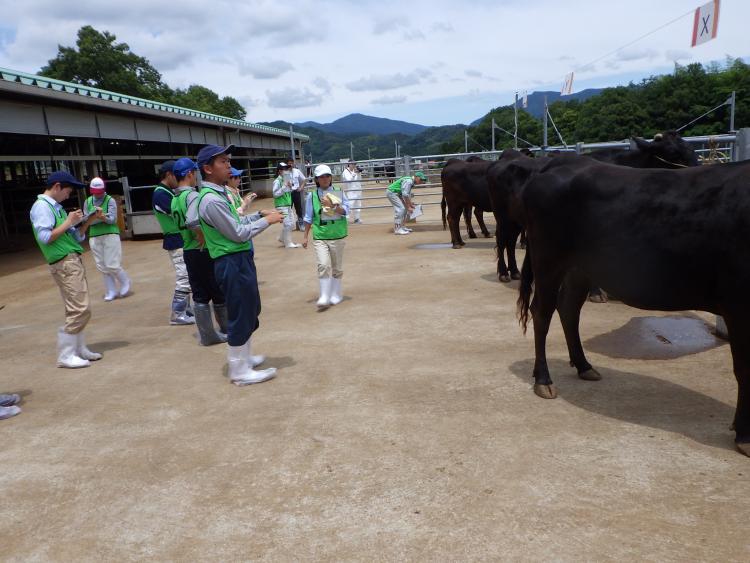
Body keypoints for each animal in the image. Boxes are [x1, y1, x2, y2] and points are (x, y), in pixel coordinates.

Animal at [520, 156, 750, 456]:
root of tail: (563, 161)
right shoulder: (739, 306)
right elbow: (745, 369)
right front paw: (745, 434)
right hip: (548, 258)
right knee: (542, 312)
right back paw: (543, 380)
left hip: (580, 267)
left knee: (568, 308)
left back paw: (583, 365)